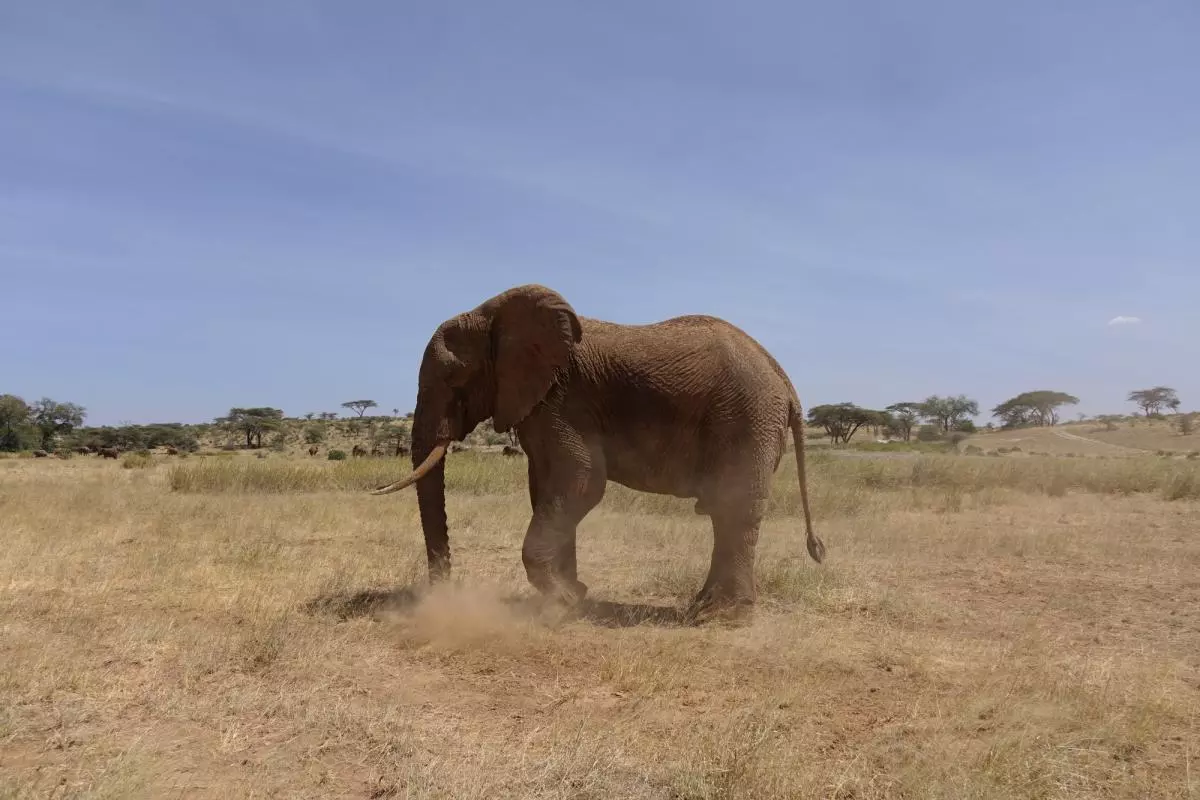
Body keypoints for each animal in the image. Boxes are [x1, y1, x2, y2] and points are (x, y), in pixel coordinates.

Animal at [370, 284, 825, 621]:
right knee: (722, 512)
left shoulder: (563, 398)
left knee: (735, 507)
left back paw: (724, 617)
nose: (444, 597)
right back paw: (703, 608)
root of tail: (785, 382)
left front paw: (562, 603)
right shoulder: (542, 404)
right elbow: (547, 486)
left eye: (454, 379)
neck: (494, 314)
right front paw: (572, 596)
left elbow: (581, 481)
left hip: (747, 417)